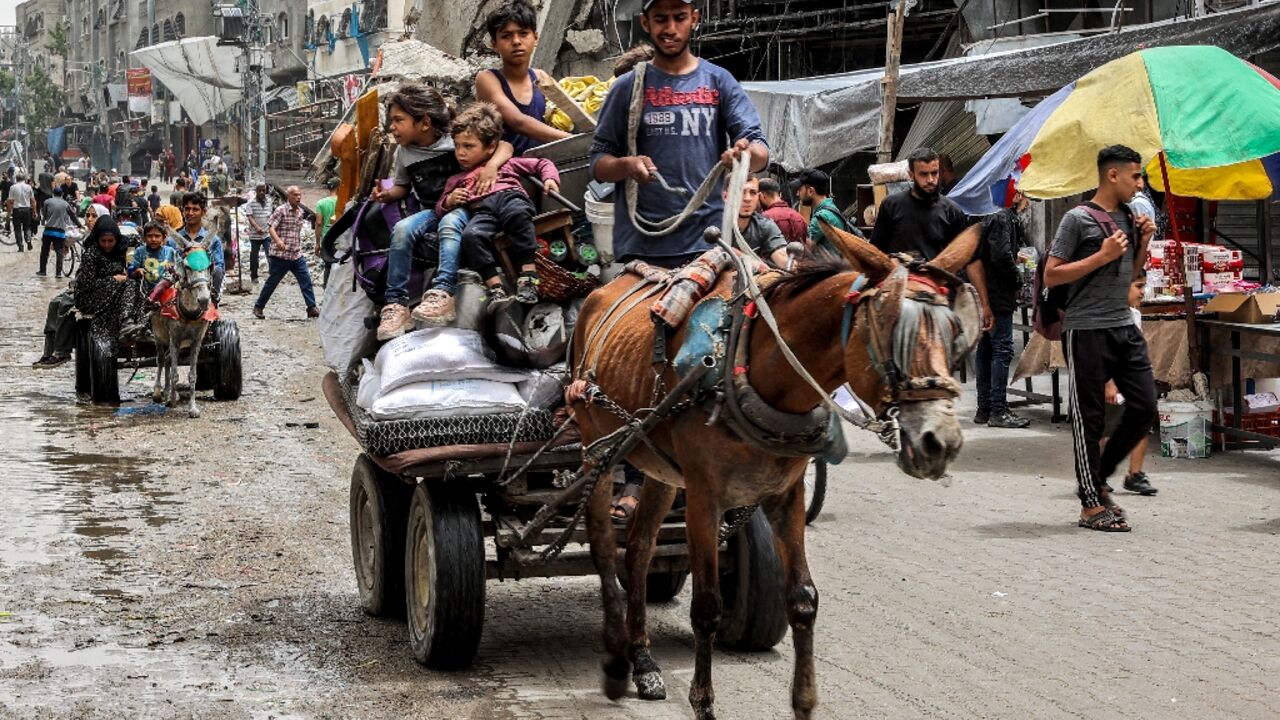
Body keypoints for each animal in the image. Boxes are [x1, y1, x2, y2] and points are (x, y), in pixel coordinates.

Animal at [570, 222, 977, 717]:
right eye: (888, 326)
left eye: (954, 330)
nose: (941, 442)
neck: (754, 365)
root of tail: (599, 292)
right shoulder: (704, 497)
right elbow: (707, 607)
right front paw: (703, 703)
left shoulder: (788, 494)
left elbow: (802, 599)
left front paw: (804, 702)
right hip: (597, 448)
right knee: (604, 547)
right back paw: (615, 661)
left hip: (660, 469)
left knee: (640, 547)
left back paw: (643, 661)